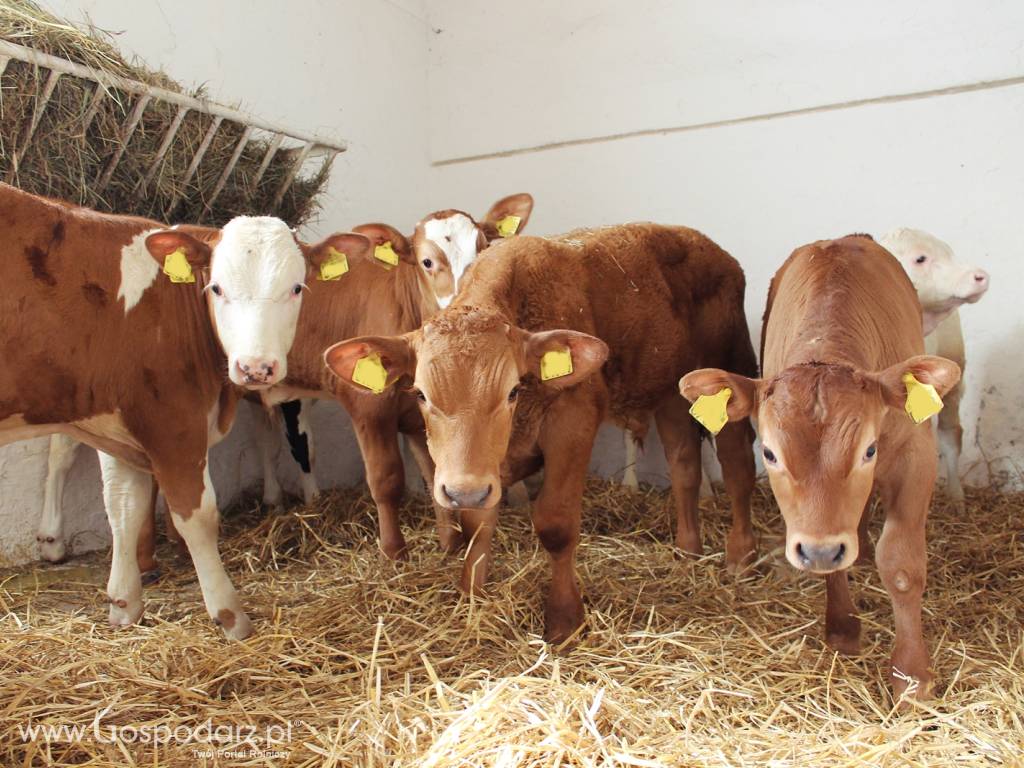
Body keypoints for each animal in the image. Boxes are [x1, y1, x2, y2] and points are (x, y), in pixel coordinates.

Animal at [0, 182, 368, 638]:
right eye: (217, 288)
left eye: (297, 287)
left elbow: (123, 506)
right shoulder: (171, 422)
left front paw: (125, 605)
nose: (256, 367)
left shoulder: (120, 424)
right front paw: (231, 616)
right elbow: (197, 516)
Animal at [327, 224, 761, 643]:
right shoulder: (480, 471)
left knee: (737, 466)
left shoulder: (573, 424)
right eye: (420, 394)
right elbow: (475, 522)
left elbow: (555, 524)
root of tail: (711, 248)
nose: (461, 489)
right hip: (671, 389)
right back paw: (688, 550)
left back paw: (741, 557)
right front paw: (472, 596)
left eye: (512, 391)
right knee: (684, 465)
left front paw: (565, 621)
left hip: (728, 368)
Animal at [679, 236, 958, 704]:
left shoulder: (917, 457)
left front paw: (911, 674)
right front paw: (842, 629)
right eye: (770, 454)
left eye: (869, 450)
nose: (820, 550)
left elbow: (901, 565)